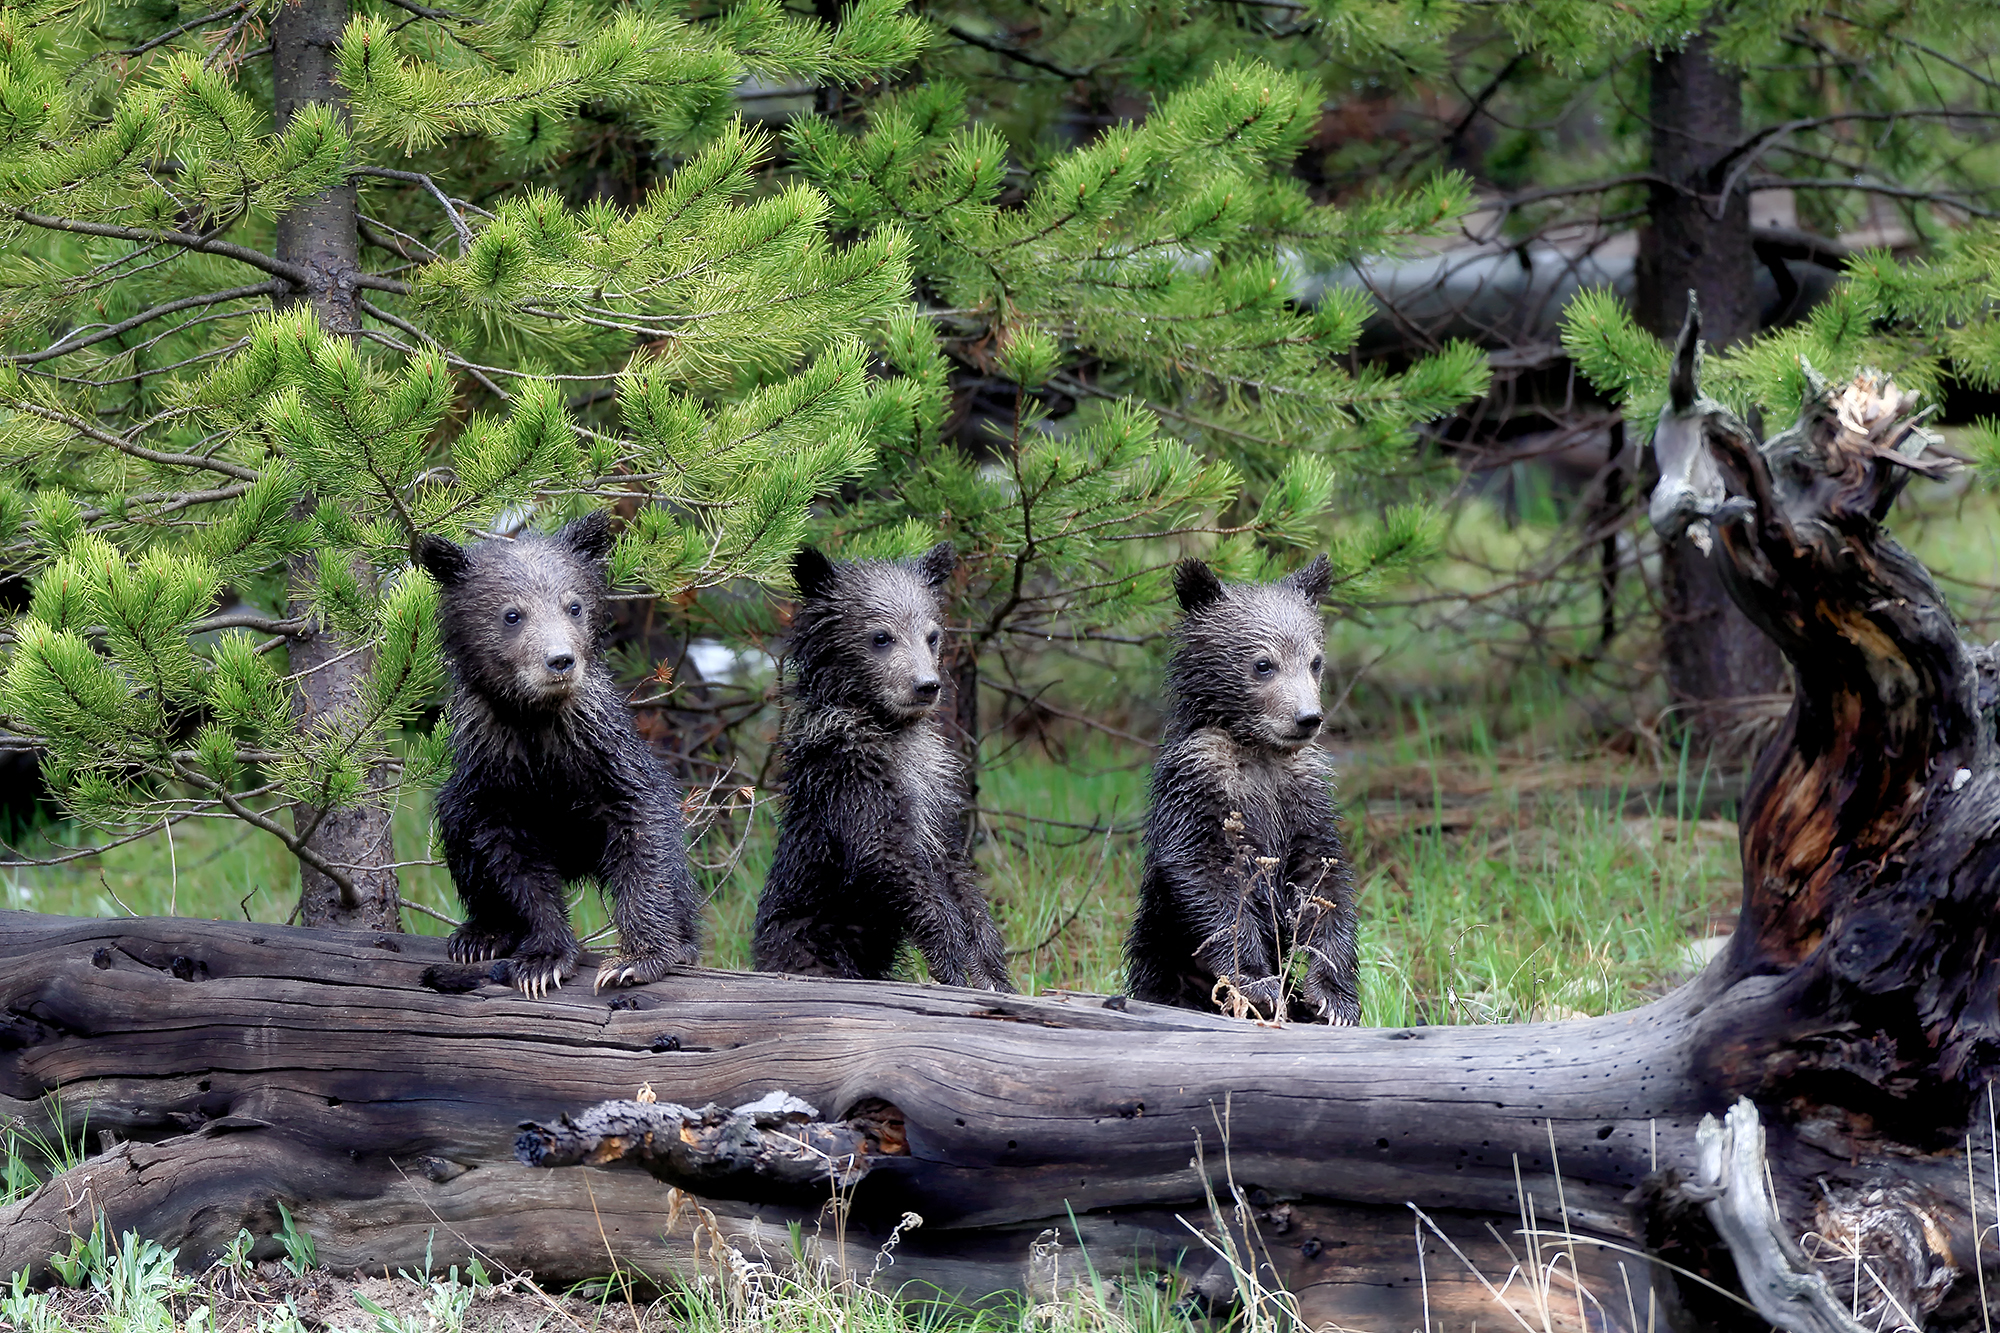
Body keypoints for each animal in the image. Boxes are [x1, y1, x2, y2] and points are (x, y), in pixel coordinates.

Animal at [413, 510, 702, 998]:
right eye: (512, 614)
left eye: (574, 606)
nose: (560, 660)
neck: (536, 727)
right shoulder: (493, 779)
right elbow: (513, 864)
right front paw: (543, 959)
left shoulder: (606, 758)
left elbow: (646, 841)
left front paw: (636, 959)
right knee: (456, 827)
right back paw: (480, 933)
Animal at [751, 541, 1012, 990]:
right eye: (881, 637)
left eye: (932, 635)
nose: (926, 686)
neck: (886, 726)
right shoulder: (849, 774)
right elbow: (884, 854)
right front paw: (951, 959)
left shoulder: (934, 790)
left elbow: (956, 871)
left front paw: (990, 968)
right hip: (811, 943)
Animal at [1124, 554, 1360, 1024]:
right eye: (1263, 663)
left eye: (1314, 661)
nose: (1307, 717)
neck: (1259, 751)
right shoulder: (1198, 783)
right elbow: (1208, 875)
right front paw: (1257, 982)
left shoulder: (1303, 794)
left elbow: (1322, 880)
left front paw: (1333, 997)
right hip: (1160, 957)